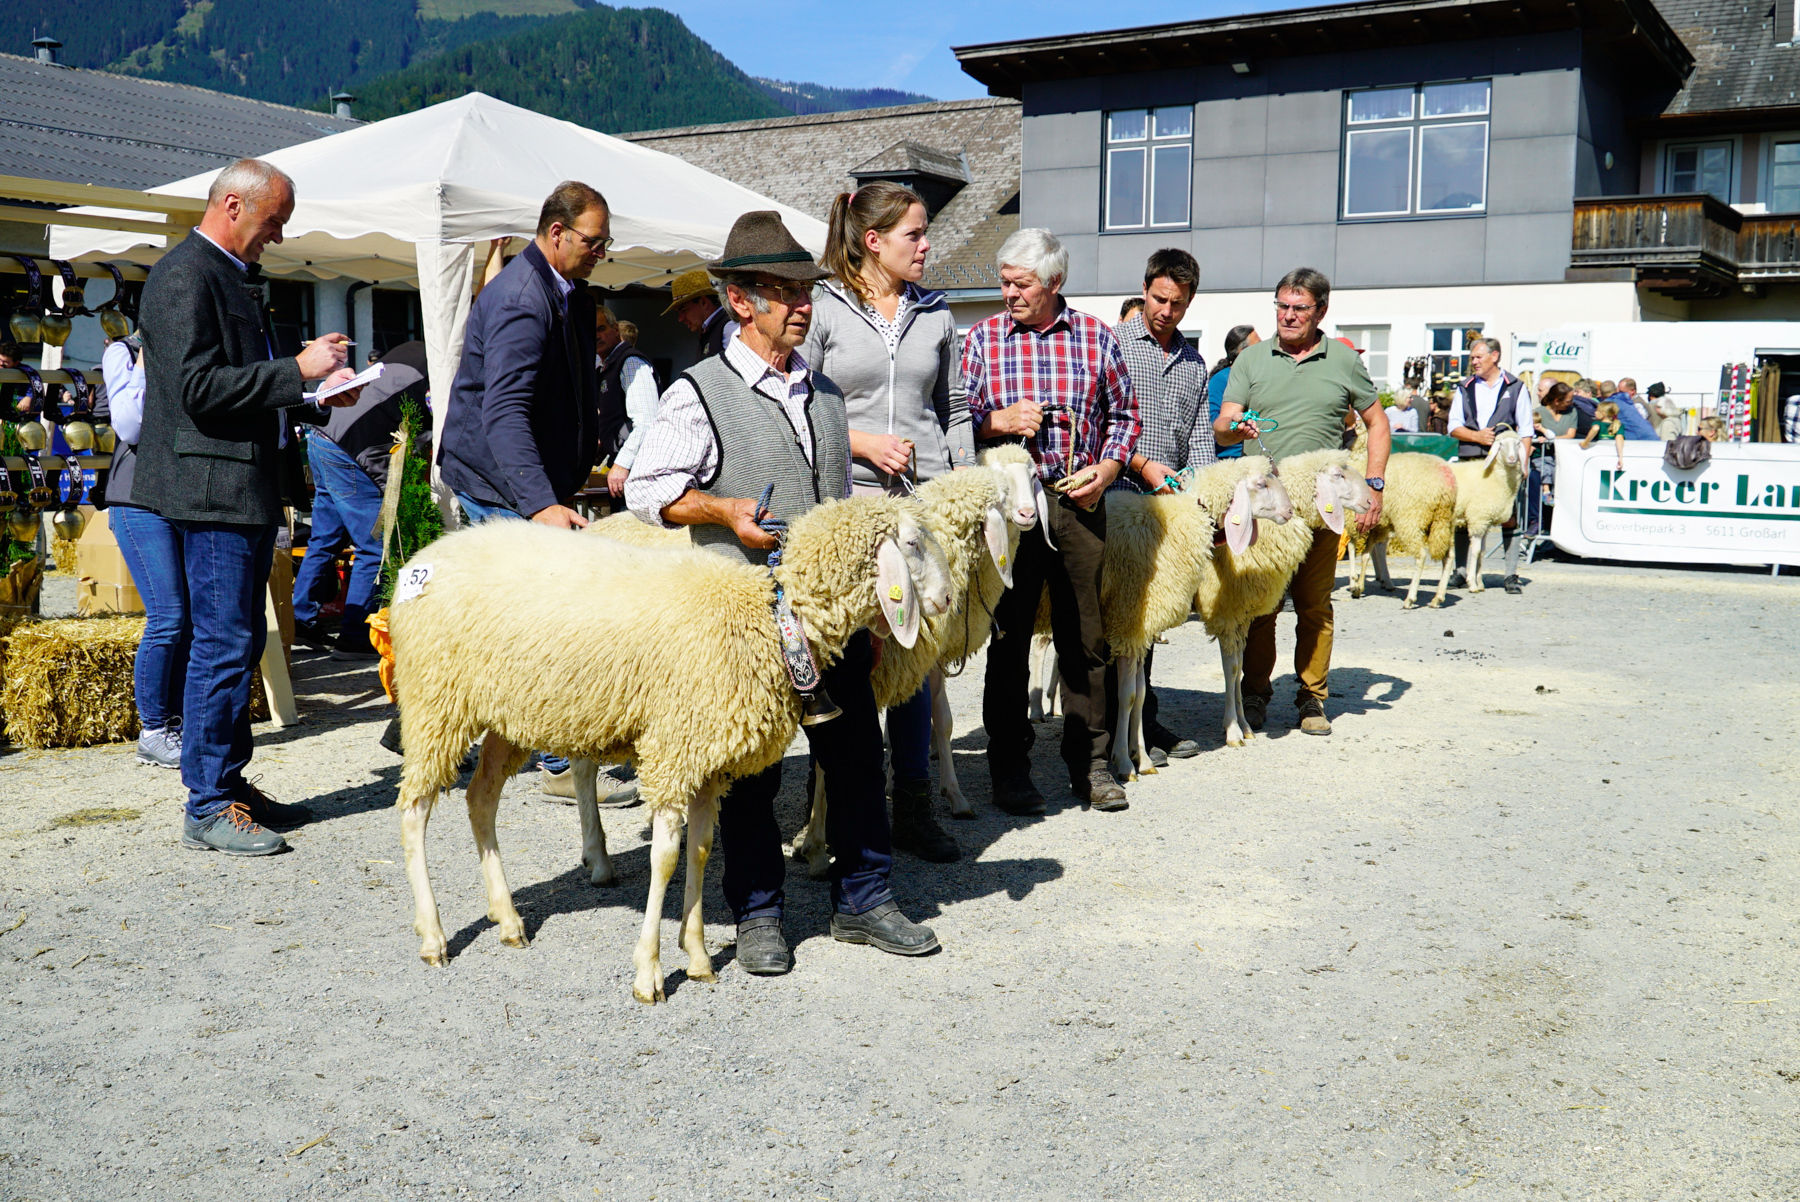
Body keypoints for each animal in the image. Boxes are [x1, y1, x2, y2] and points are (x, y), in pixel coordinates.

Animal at [390, 496, 957, 1007]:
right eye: (912, 544)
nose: (949, 599)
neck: (770, 620)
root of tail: (421, 560)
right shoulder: (674, 748)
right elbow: (665, 858)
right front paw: (649, 972)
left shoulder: (708, 760)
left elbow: (701, 849)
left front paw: (700, 956)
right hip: (434, 700)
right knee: (413, 811)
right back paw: (433, 936)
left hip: (503, 713)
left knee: (481, 799)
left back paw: (507, 919)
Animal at [1346, 448, 1454, 604]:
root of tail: (1445, 481)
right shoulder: (1378, 526)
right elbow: (1368, 553)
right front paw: (1361, 585)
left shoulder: (1358, 521)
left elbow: (1352, 547)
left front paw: (1354, 582)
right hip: (1442, 523)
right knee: (1449, 556)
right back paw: (1438, 597)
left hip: (1410, 521)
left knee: (1421, 556)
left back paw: (1410, 598)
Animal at [1440, 431, 1526, 597]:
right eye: (1501, 444)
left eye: (1518, 444)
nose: (1512, 458)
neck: (1495, 477)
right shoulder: (1478, 519)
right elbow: (1475, 551)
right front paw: (1472, 584)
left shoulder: (1485, 522)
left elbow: (1482, 552)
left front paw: (1480, 584)